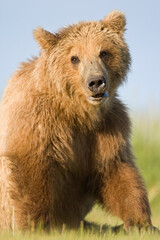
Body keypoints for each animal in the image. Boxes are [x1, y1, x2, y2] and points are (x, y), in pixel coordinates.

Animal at [0, 10, 152, 232]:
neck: (77, 112)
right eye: (74, 58)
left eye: (103, 52)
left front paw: (141, 224)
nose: (96, 82)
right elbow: (30, 171)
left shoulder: (107, 128)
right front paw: (35, 225)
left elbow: (116, 170)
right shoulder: (37, 120)